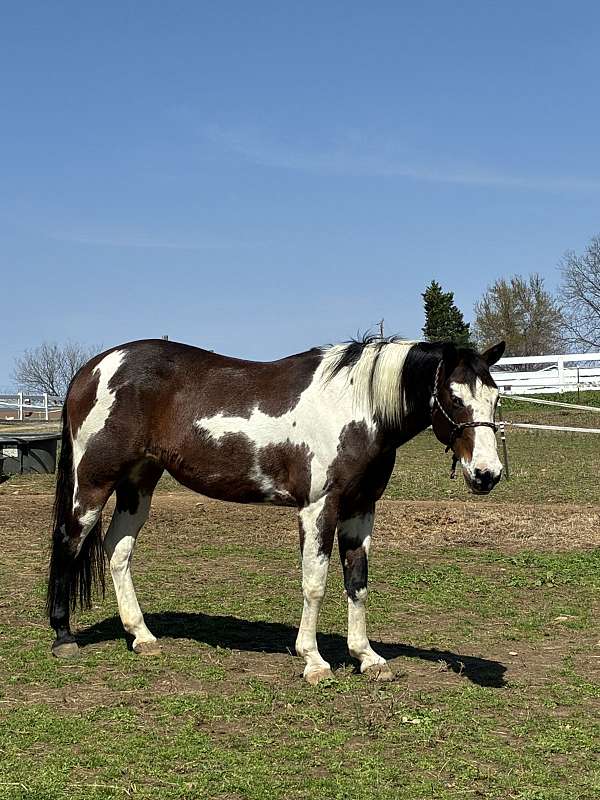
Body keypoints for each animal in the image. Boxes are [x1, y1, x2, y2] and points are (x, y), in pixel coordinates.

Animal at [46, 335, 505, 684]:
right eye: (453, 397)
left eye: (495, 397)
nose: (487, 474)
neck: (355, 407)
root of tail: (91, 368)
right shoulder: (318, 508)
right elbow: (315, 583)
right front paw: (315, 661)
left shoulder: (361, 509)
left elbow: (357, 582)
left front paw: (368, 658)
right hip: (93, 484)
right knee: (69, 541)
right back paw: (64, 637)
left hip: (139, 482)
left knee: (118, 550)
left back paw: (142, 636)